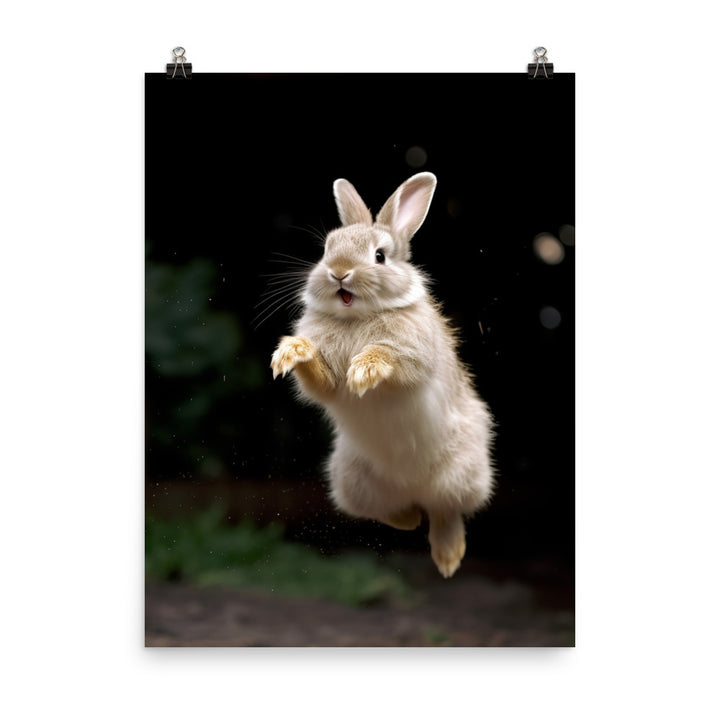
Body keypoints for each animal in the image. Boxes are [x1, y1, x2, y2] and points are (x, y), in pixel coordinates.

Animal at [270, 172, 494, 578]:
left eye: (379, 256)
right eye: (327, 249)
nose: (338, 272)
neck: (357, 317)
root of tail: (412, 487)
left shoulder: (415, 357)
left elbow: (393, 359)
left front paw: (365, 369)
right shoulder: (326, 383)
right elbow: (321, 382)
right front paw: (291, 352)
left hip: (463, 475)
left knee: (446, 511)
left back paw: (448, 558)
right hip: (350, 482)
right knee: (396, 514)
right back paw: (410, 518)